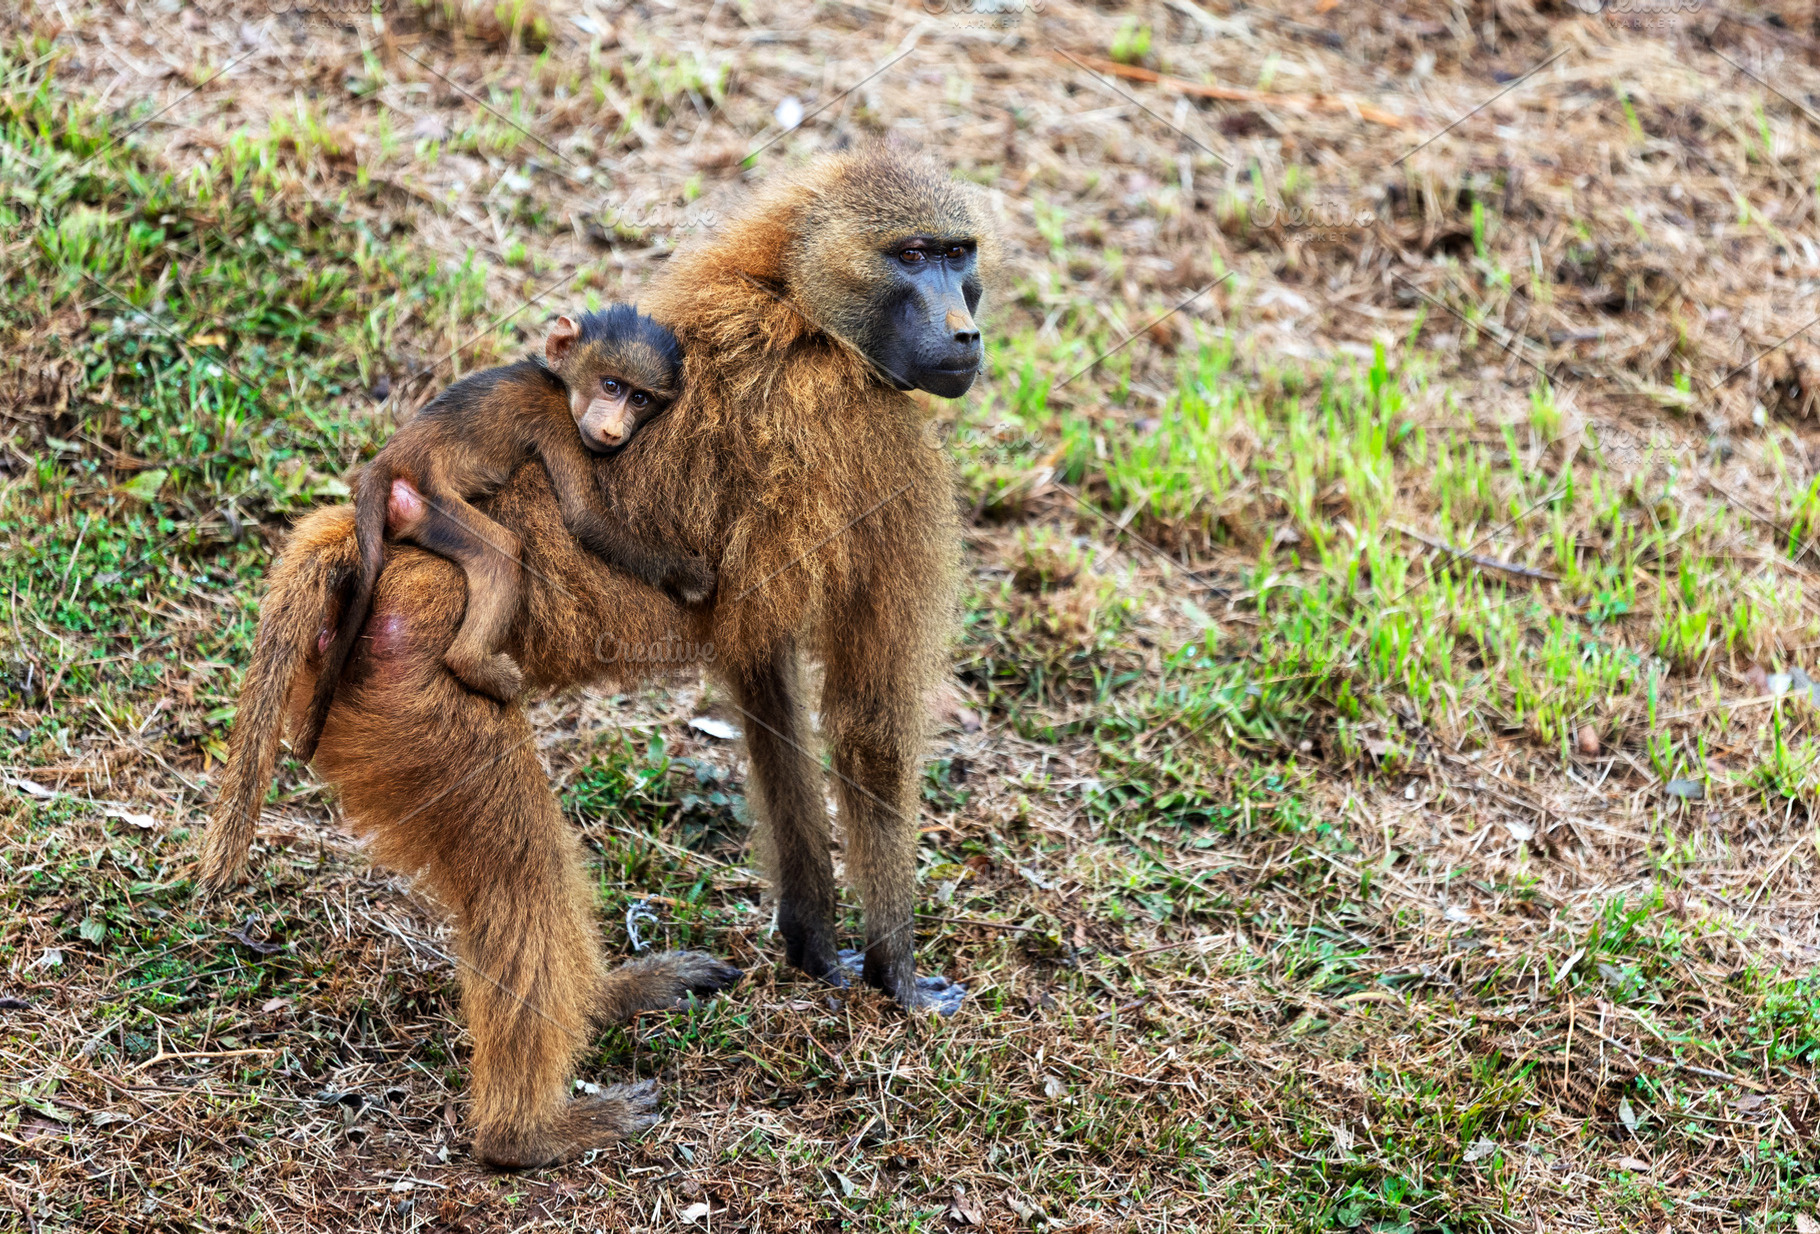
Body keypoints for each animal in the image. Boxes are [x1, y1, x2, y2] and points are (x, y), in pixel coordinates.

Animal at [295, 305, 714, 761]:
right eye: (611, 385)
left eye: (640, 398)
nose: (614, 430)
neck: (558, 383)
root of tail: (387, 461)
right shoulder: (557, 421)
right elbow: (585, 517)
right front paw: (688, 575)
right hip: (431, 505)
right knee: (501, 549)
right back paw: (473, 664)